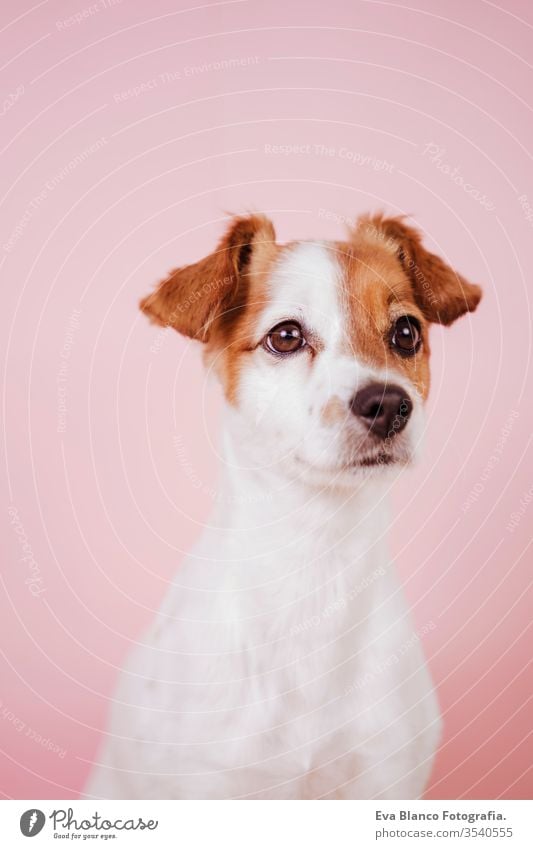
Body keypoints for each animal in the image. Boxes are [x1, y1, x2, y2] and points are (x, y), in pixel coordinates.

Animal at [85, 215, 480, 800]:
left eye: (406, 332)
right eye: (286, 336)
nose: (388, 404)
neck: (315, 562)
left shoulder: (386, 776)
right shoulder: (210, 783)